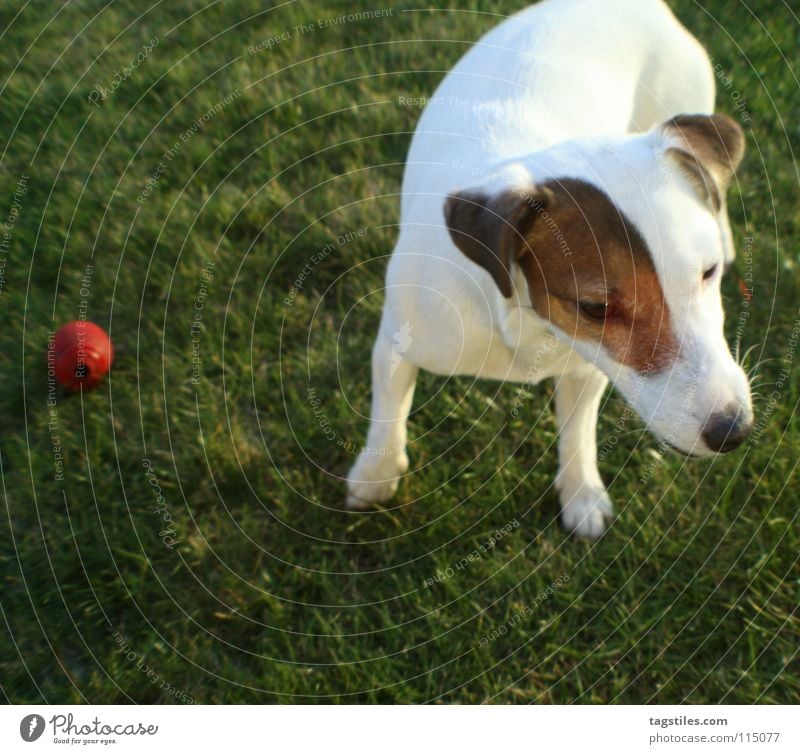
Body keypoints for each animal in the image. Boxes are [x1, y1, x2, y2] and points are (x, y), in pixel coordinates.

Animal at [346, 0, 752, 536]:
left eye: (708, 274)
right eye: (596, 307)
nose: (733, 428)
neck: (522, 319)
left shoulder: (587, 364)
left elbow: (577, 432)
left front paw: (580, 494)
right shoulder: (399, 338)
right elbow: (388, 410)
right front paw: (375, 475)